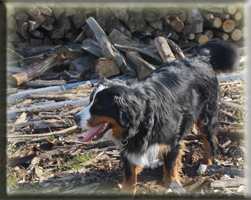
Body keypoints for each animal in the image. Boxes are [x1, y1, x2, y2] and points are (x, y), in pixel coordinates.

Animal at [73, 39, 238, 195]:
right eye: (90, 100)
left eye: (99, 106)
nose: (75, 118)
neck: (141, 121)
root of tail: (199, 58)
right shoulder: (128, 146)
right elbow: (129, 174)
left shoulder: (172, 143)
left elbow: (170, 169)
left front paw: (171, 188)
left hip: (206, 116)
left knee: (209, 139)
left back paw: (206, 164)